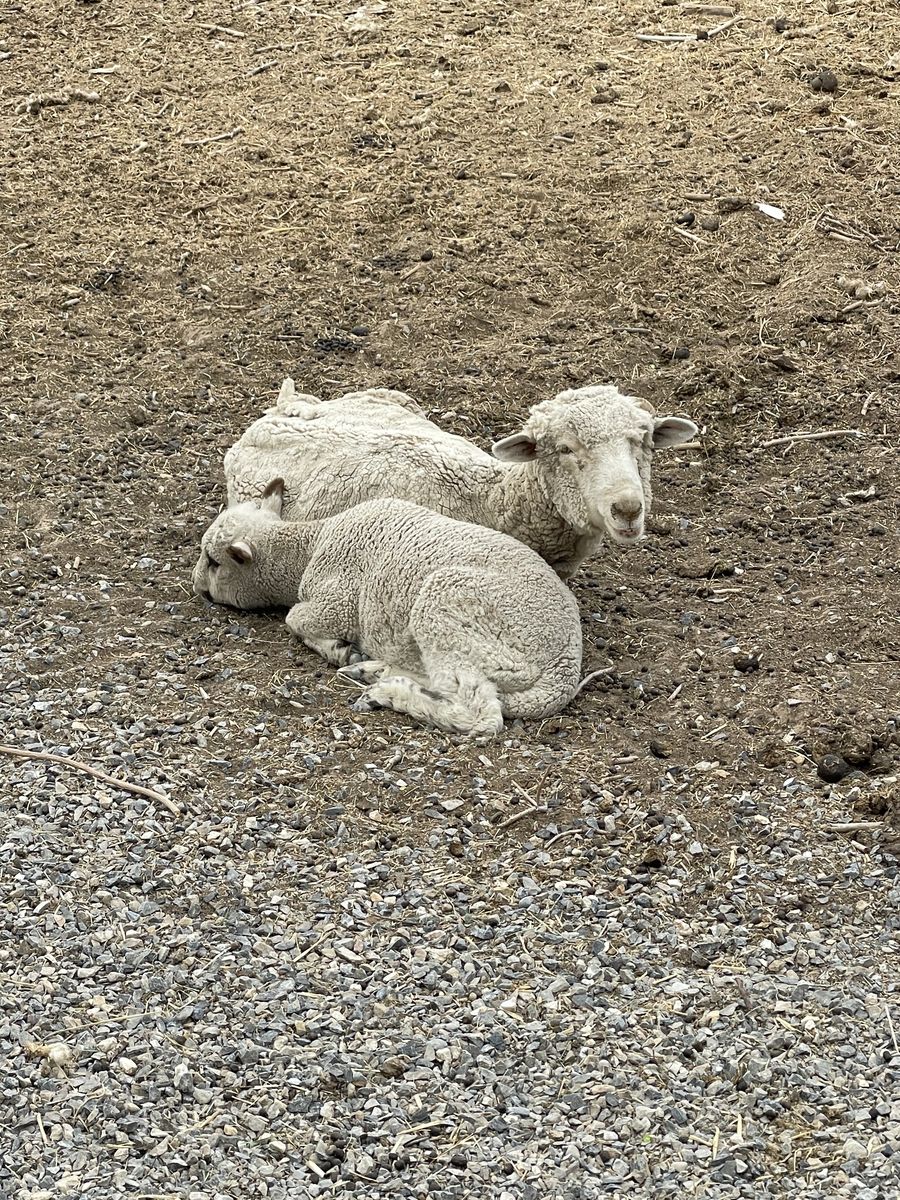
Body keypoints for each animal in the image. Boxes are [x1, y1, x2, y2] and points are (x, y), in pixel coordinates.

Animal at [192, 481, 583, 736]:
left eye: (213, 561)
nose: (196, 587)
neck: (309, 549)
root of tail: (565, 665)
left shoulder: (338, 600)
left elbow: (294, 619)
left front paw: (337, 648)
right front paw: (348, 654)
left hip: (450, 606)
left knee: (480, 713)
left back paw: (386, 692)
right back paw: (373, 671)